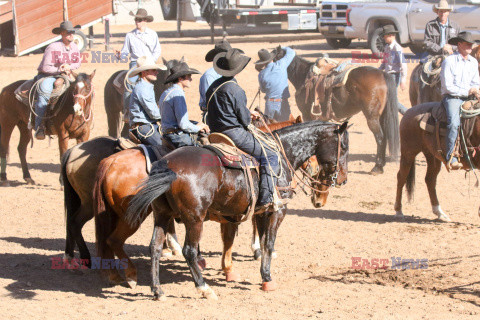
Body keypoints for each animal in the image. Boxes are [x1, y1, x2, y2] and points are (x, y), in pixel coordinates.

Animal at [125, 121, 346, 302]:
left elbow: (243, 241)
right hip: (194, 219)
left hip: (162, 214)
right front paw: (267, 279)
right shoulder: (277, 211)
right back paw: (204, 288)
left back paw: (157, 290)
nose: (343, 179)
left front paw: (242, 271)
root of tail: (167, 164)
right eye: (343, 147)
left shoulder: (256, 212)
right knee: (189, 251)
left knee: (154, 247)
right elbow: (268, 244)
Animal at [274, 47, 398, 175]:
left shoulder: (307, 115)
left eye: (273, 57)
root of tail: (382, 74)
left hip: (372, 117)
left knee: (380, 137)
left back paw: (377, 167)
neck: (303, 76)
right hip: (381, 116)